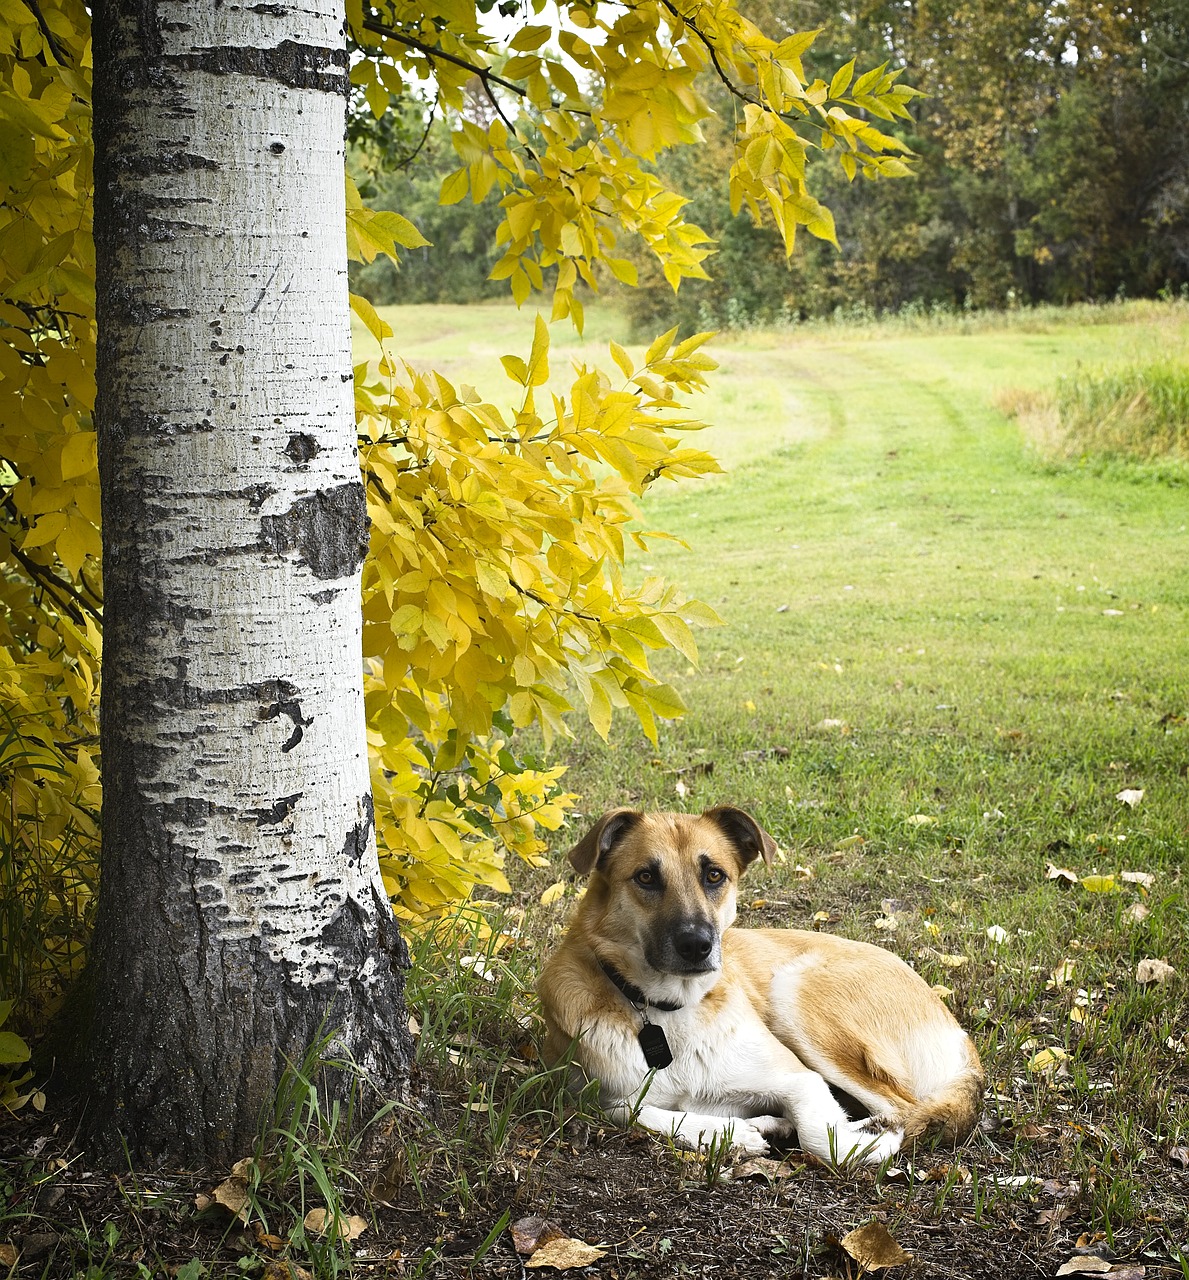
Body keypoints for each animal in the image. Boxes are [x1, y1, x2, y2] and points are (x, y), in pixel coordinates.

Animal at [537, 808, 982, 1172]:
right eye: (646, 877)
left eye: (714, 875)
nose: (697, 945)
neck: (670, 1010)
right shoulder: (593, 1096)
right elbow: (630, 1111)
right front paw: (731, 1132)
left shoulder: (800, 1079)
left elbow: (824, 1139)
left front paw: (863, 1140)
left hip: (797, 998)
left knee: (906, 1109)